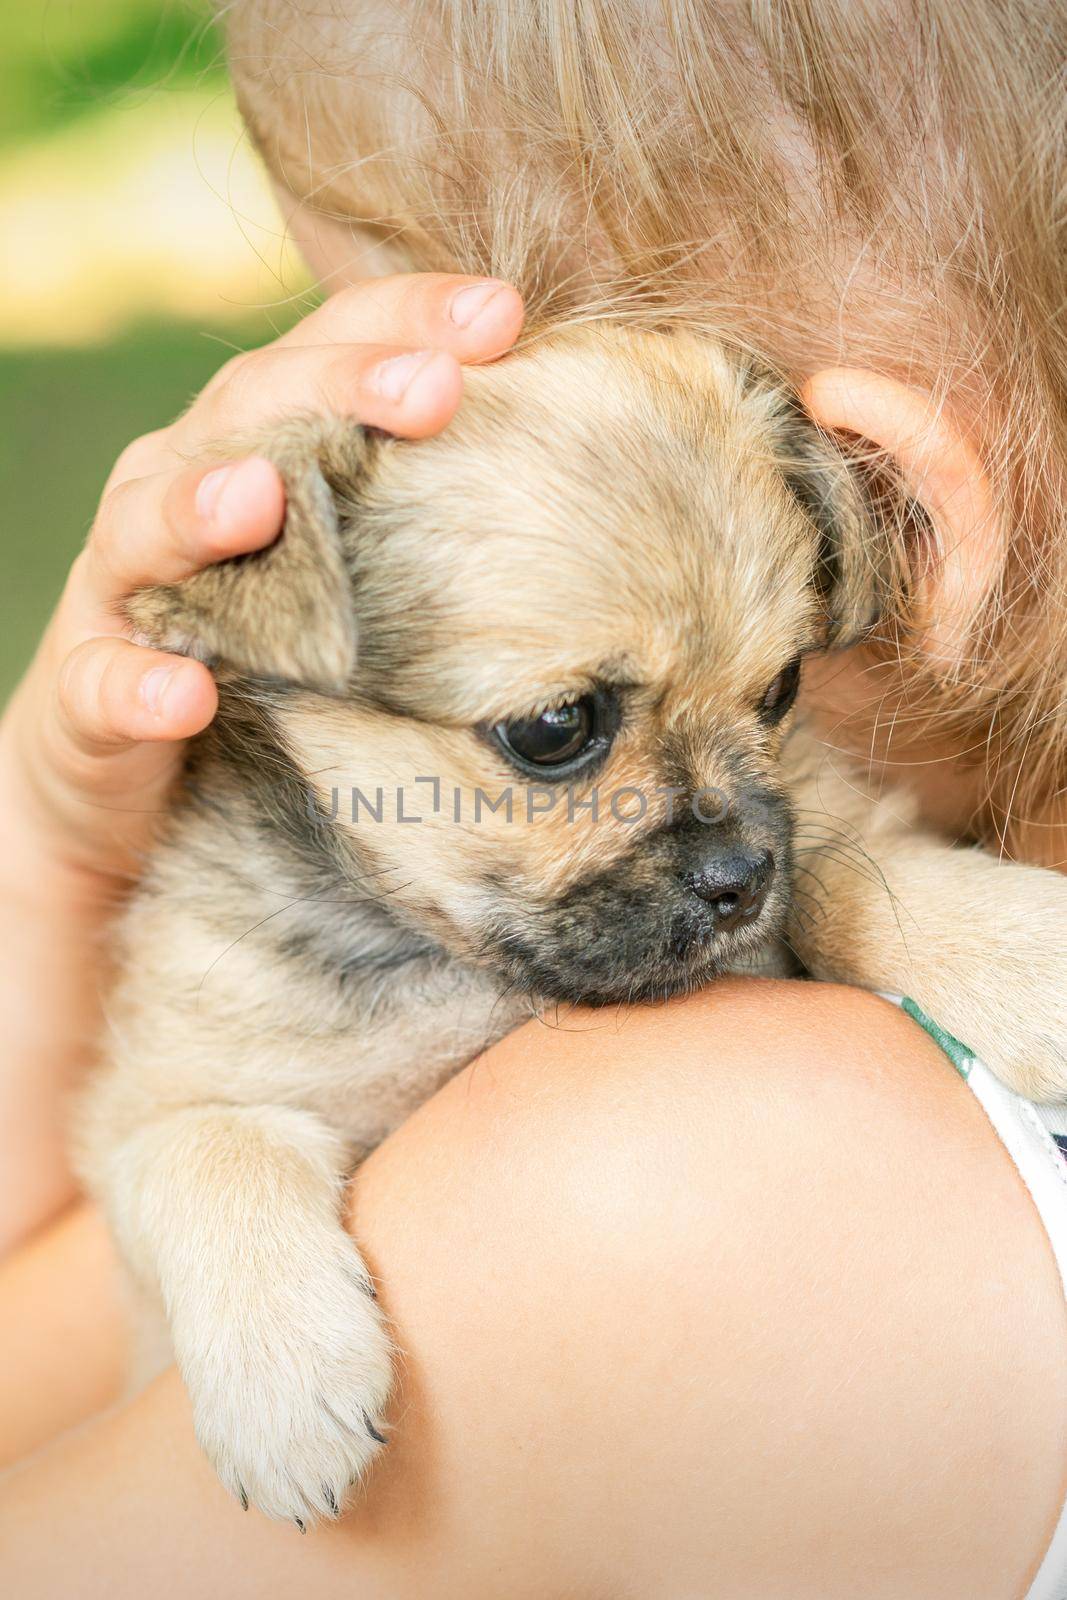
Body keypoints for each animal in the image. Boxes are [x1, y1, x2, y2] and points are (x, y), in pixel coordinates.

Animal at [79, 321, 1067, 1523]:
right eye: (556, 728)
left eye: (781, 688)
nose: (742, 876)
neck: (460, 964)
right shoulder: (143, 1112)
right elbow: (210, 1142)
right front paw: (283, 1382)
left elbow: (849, 872)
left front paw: (1023, 957)